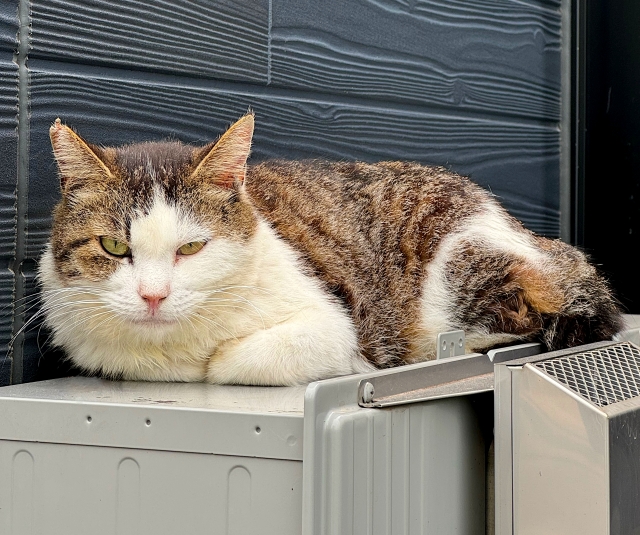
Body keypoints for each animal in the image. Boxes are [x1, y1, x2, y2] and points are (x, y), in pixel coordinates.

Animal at [36, 115, 624, 388]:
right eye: (114, 247)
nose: (153, 296)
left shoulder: (336, 327)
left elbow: (233, 362)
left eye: (192, 247)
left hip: (462, 265)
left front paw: (215, 359)